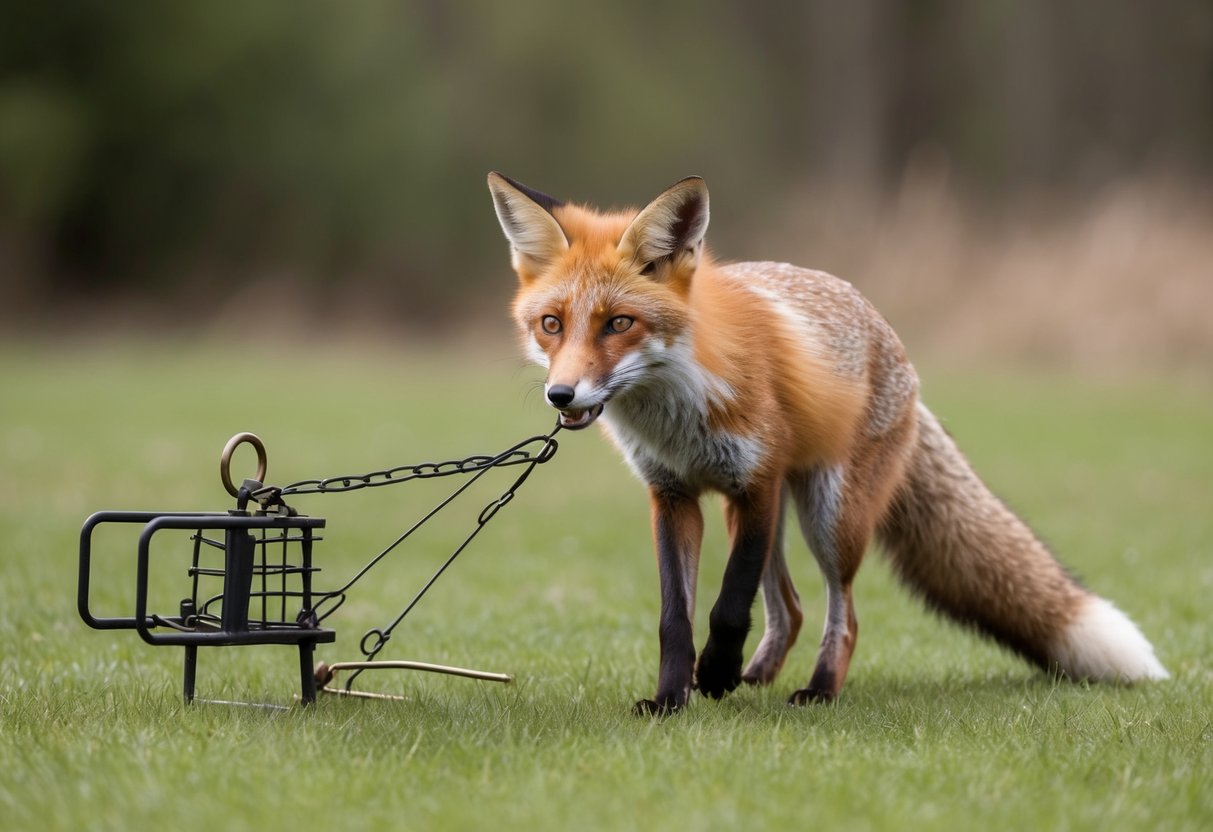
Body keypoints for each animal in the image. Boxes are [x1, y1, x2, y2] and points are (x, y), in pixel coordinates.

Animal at [487, 171, 1169, 715]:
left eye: (620, 324)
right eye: (551, 325)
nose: (562, 396)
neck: (678, 408)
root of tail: (894, 344)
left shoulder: (756, 480)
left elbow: (727, 607)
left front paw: (714, 672)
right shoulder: (673, 496)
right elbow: (675, 617)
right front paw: (672, 699)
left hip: (828, 516)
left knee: (844, 613)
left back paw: (814, 689)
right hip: (760, 514)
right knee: (788, 609)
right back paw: (755, 676)